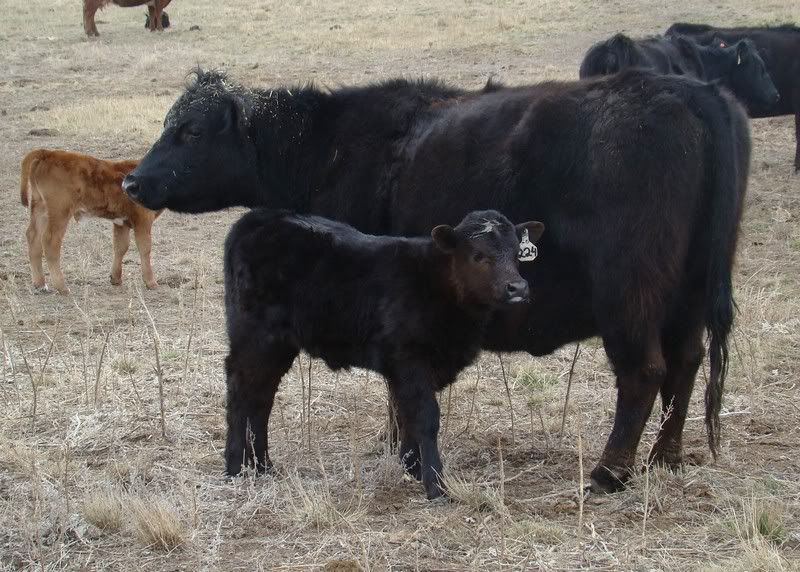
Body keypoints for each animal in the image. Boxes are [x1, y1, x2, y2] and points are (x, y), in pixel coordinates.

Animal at [20, 149, 162, 295]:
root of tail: (48, 153)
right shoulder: (143, 219)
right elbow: (145, 249)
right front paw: (151, 282)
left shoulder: (121, 222)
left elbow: (120, 247)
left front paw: (115, 278)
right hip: (60, 211)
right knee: (50, 241)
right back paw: (62, 287)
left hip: (40, 208)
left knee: (33, 237)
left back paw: (40, 284)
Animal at [224, 209, 544, 499]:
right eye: (478, 255)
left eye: (517, 254)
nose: (517, 288)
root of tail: (259, 217)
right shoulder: (410, 360)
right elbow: (425, 417)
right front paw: (435, 485)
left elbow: (405, 415)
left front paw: (412, 468)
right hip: (256, 339)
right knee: (242, 393)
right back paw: (235, 466)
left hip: (277, 345)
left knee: (261, 398)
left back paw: (262, 465)